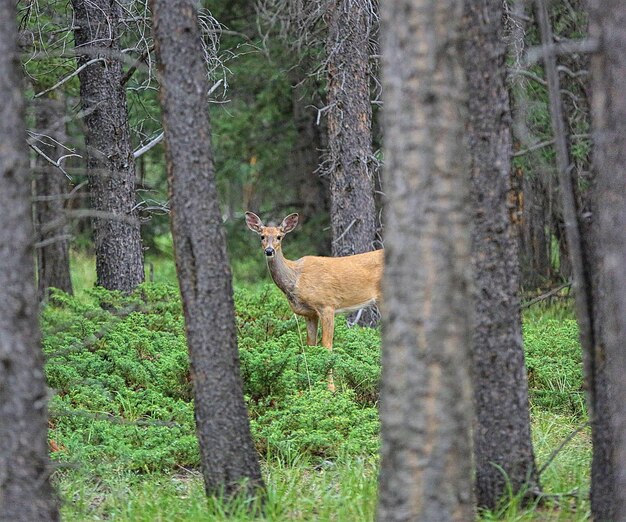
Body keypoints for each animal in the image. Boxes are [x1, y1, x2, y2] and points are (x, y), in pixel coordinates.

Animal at [243, 211, 380, 390]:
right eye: (262, 236)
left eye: (279, 236)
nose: (269, 251)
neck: (296, 279)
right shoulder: (309, 314)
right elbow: (310, 346)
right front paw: (312, 384)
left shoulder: (327, 305)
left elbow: (327, 346)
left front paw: (331, 389)